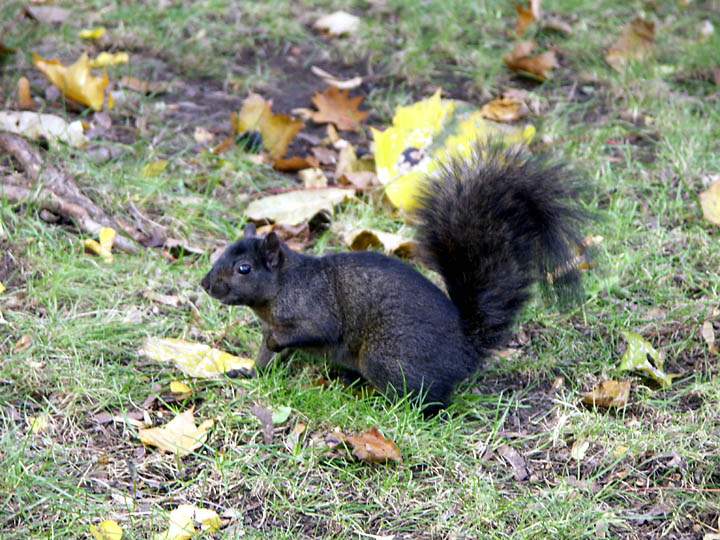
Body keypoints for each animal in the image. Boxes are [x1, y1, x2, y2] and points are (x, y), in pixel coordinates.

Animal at [200, 144, 588, 414]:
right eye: (224, 252)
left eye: (244, 268)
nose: (206, 285)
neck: (281, 288)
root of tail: (465, 350)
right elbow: (265, 359)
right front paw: (248, 373)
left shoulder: (314, 305)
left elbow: (316, 329)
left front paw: (280, 344)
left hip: (385, 357)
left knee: (431, 402)